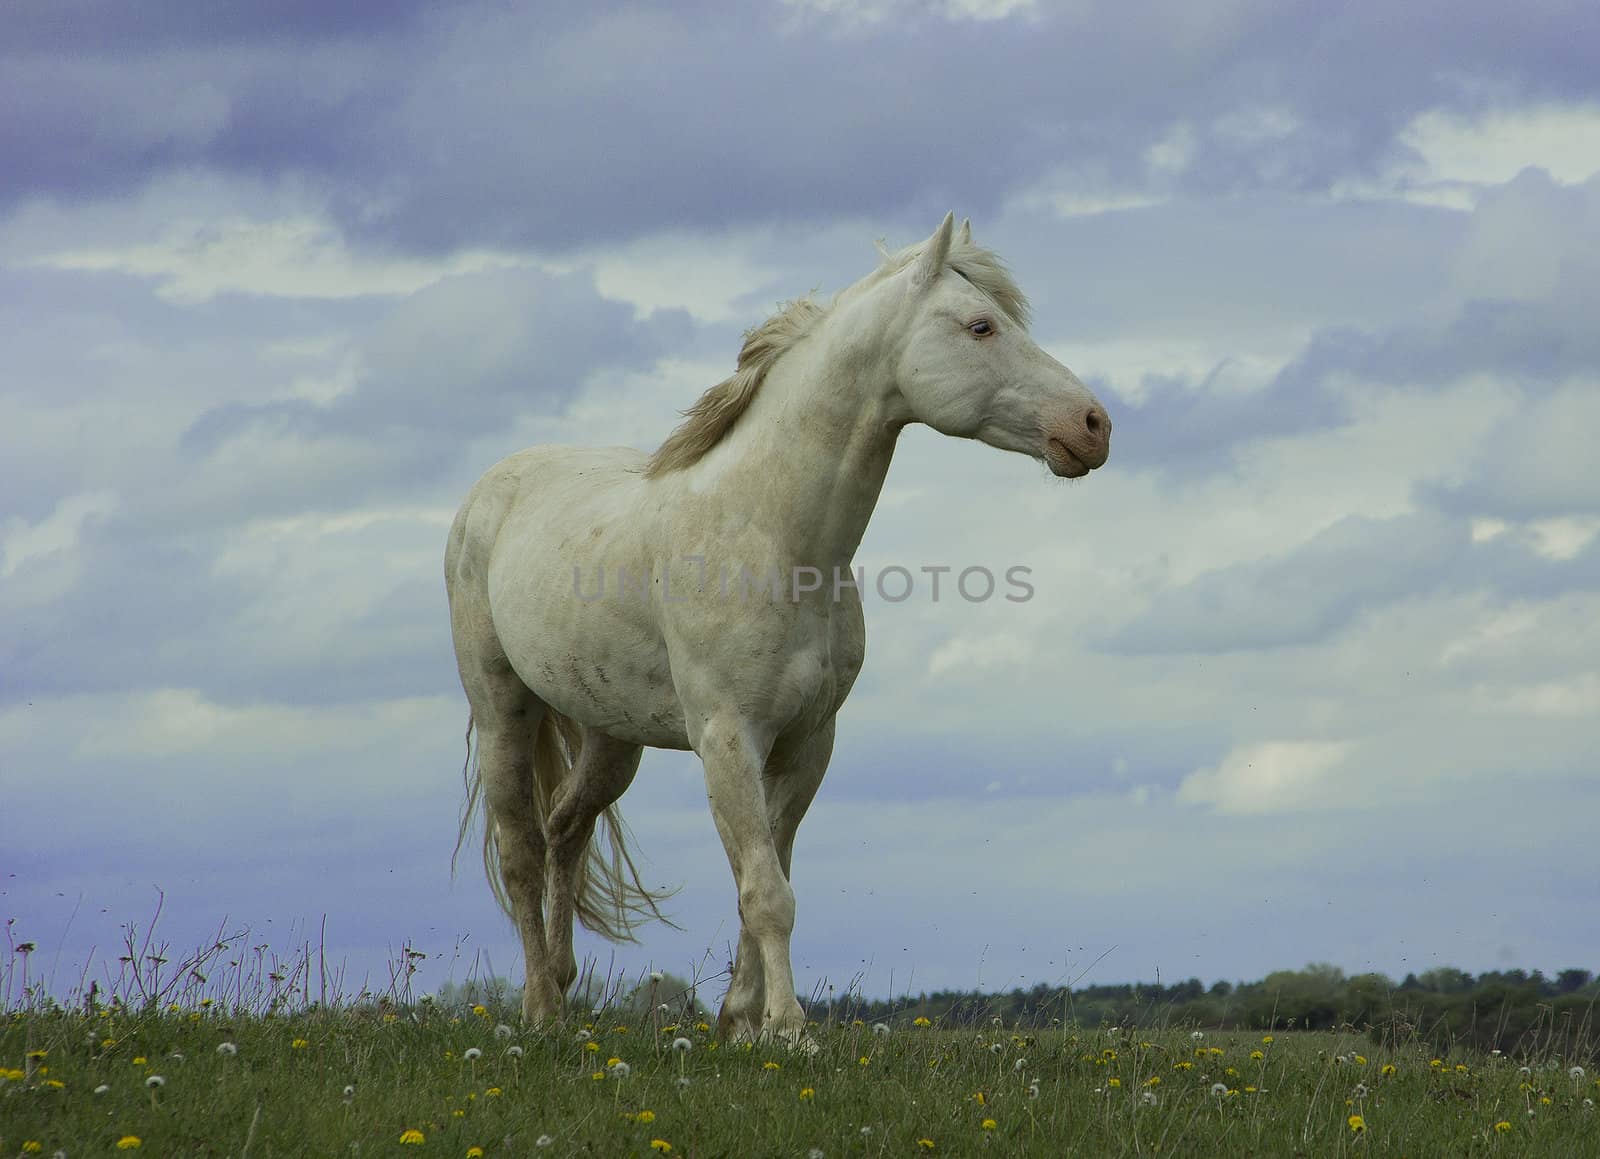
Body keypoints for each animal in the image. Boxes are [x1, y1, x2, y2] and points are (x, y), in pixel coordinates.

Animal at [444, 214, 1107, 1043]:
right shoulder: (729, 739)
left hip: (611, 736)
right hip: (502, 707)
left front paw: (740, 1022)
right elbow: (766, 890)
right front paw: (790, 1029)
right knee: (523, 849)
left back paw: (564, 990)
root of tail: (491, 488)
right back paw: (538, 1007)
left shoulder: (805, 744)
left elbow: (767, 878)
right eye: (981, 325)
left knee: (567, 828)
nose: (1093, 425)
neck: (773, 536)